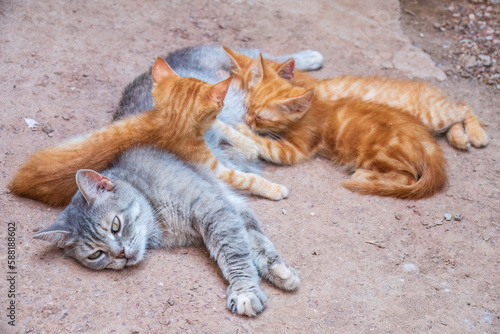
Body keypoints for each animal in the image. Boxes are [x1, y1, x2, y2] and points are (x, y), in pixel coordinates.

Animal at [7, 56, 288, 206]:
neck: (166, 122)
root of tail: (15, 184)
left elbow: (223, 125)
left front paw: (248, 144)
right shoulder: (212, 168)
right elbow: (245, 178)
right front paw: (274, 189)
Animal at [225, 47, 490, 150]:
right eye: (242, 96)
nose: (244, 116)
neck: (305, 84)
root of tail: (431, 88)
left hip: (432, 114)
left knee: (462, 105)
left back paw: (475, 134)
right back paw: (459, 137)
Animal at [230, 56, 446, 200]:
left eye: (260, 118)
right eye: (246, 106)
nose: (247, 120)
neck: (311, 107)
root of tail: (429, 144)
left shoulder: (296, 149)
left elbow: (267, 145)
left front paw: (243, 130)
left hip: (378, 152)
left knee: (407, 177)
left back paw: (366, 175)